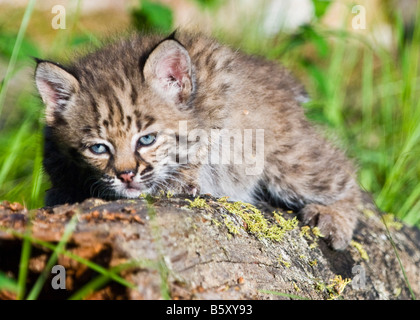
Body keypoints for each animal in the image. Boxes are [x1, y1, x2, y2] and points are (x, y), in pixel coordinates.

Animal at [35, 32, 360, 250]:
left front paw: (181, 179)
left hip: (287, 160)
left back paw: (333, 218)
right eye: (98, 148)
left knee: (342, 169)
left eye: (147, 139)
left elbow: (203, 143)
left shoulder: (217, 94)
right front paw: (63, 192)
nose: (126, 176)